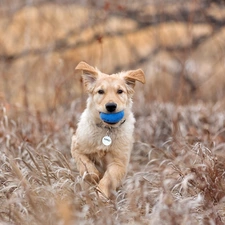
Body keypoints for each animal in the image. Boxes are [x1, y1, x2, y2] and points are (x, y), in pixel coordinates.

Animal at [71, 60, 146, 200]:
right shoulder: (77, 147)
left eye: (120, 91)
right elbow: (88, 168)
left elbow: (108, 179)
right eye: (100, 91)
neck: (107, 130)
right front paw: (95, 177)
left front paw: (101, 194)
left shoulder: (119, 163)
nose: (111, 106)